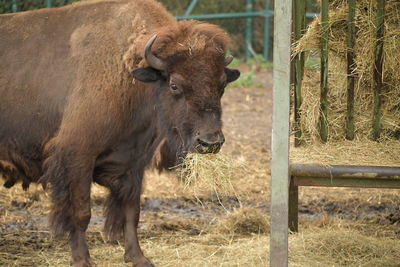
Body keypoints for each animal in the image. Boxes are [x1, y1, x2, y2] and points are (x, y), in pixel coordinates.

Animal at [0, 0, 239, 266]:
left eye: (222, 85)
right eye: (174, 84)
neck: (132, 77)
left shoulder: (134, 163)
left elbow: (131, 213)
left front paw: (138, 257)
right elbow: (81, 212)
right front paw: (82, 259)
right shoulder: (77, 156)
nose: (210, 142)